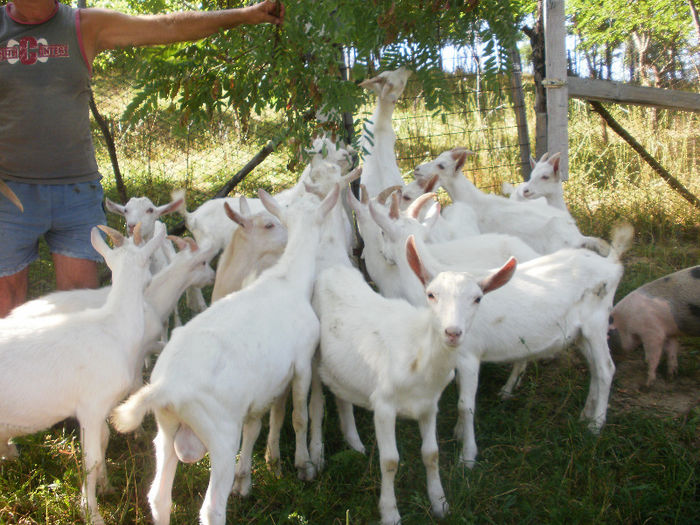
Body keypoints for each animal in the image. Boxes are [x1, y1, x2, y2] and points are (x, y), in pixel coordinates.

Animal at [0, 222, 165, 524]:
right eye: (149, 259)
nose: (150, 280)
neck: (114, 326)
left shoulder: (103, 407)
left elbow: (104, 440)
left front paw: (107, 486)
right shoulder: (91, 405)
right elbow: (92, 459)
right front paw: (92, 512)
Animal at [110, 183, 340, 524]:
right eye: (271, 224)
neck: (288, 280)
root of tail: (166, 389)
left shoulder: (260, 392)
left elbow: (258, 425)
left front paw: (250, 478)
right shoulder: (301, 364)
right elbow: (299, 415)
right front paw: (304, 465)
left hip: (166, 430)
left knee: (159, 497)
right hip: (219, 434)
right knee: (211, 507)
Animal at [312, 235, 516, 520]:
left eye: (477, 298)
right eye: (431, 294)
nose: (452, 332)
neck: (418, 358)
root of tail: (331, 270)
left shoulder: (429, 405)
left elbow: (432, 453)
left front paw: (440, 502)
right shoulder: (383, 405)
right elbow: (389, 461)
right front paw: (390, 513)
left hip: (341, 365)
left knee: (342, 393)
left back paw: (354, 442)